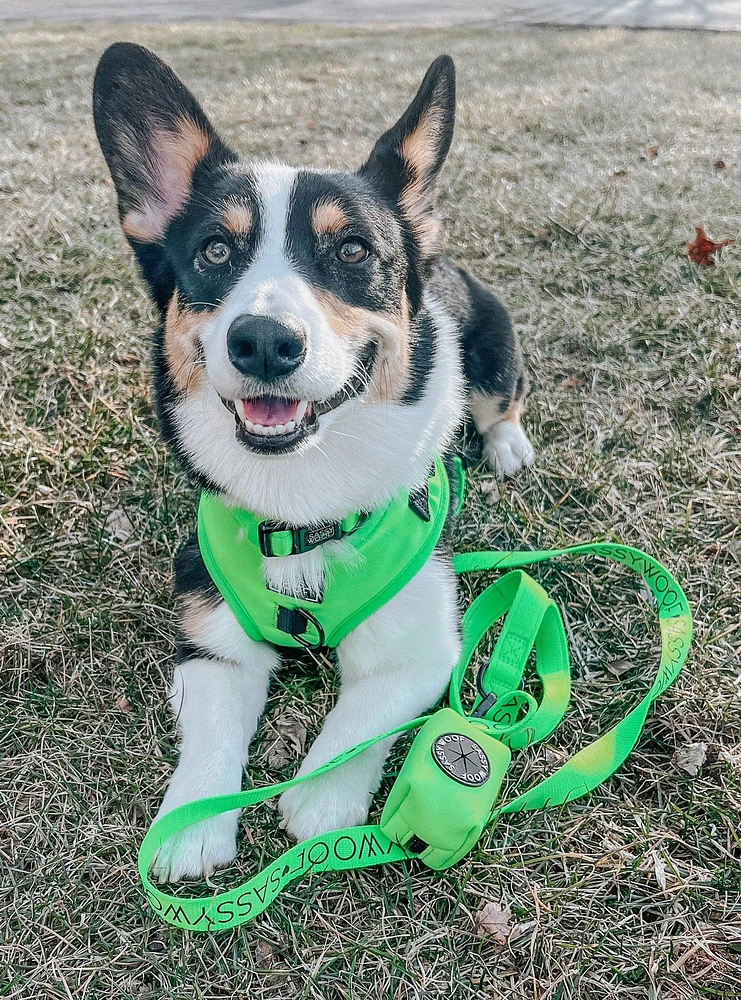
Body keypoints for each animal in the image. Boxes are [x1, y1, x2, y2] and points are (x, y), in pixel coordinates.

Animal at [92, 43, 532, 880]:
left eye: (352, 250)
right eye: (216, 250)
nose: (263, 341)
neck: (302, 503)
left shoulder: (421, 652)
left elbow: (357, 722)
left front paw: (321, 807)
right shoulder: (209, 641)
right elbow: (210, 739)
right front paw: (190, 831)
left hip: (494, 353)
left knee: (502, 403)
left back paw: (509, 447)